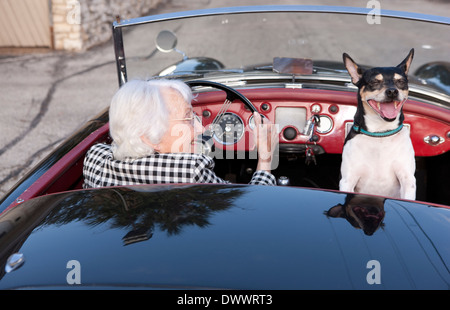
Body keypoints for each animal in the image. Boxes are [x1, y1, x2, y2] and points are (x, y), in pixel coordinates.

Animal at [340, 48, 416, 199]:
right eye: (374, 82)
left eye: (400, 81)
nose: (392, 91)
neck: (380, 133)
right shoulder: (347, 180)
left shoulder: (408, 180)